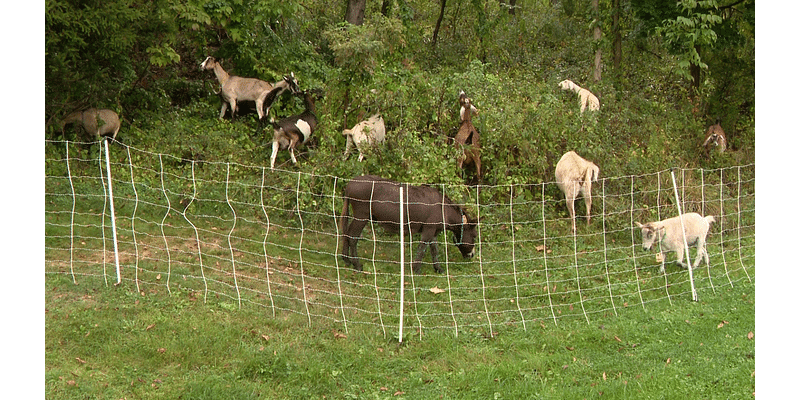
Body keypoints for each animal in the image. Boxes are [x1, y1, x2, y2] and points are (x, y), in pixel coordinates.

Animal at [338, 175, 476, 276]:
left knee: (346, 233)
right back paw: (357, 265)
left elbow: (434, 250)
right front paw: (417, 271)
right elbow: (422, 249)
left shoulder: (433, 232)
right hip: (362, 215)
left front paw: (439, 269)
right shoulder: (428, 230)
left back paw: (346, 260)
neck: (444, 210)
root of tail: (350, 184)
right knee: (352, 237)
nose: (472, 255)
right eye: (474, 236)